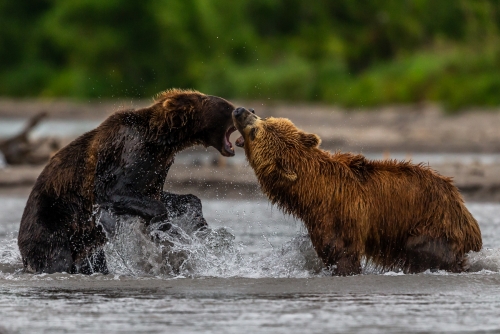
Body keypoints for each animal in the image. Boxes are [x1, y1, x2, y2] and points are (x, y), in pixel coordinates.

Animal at [18, 88, 237, 274]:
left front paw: (199, 228)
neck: (161, 140)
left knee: (94, 260)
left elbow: (171, 197)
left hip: (83, 244)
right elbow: (112, 191)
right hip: (51, 223)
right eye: (226, 106)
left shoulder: (157, 168)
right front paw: (165, 231)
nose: (243, 109)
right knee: (55, 257)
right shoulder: (126, 151)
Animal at [232, 108, 482, 276]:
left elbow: (340, 252)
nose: (240, 110)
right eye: (264, 119)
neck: (312, 192)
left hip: (432, 225)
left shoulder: (340, 216)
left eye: (256, 130)